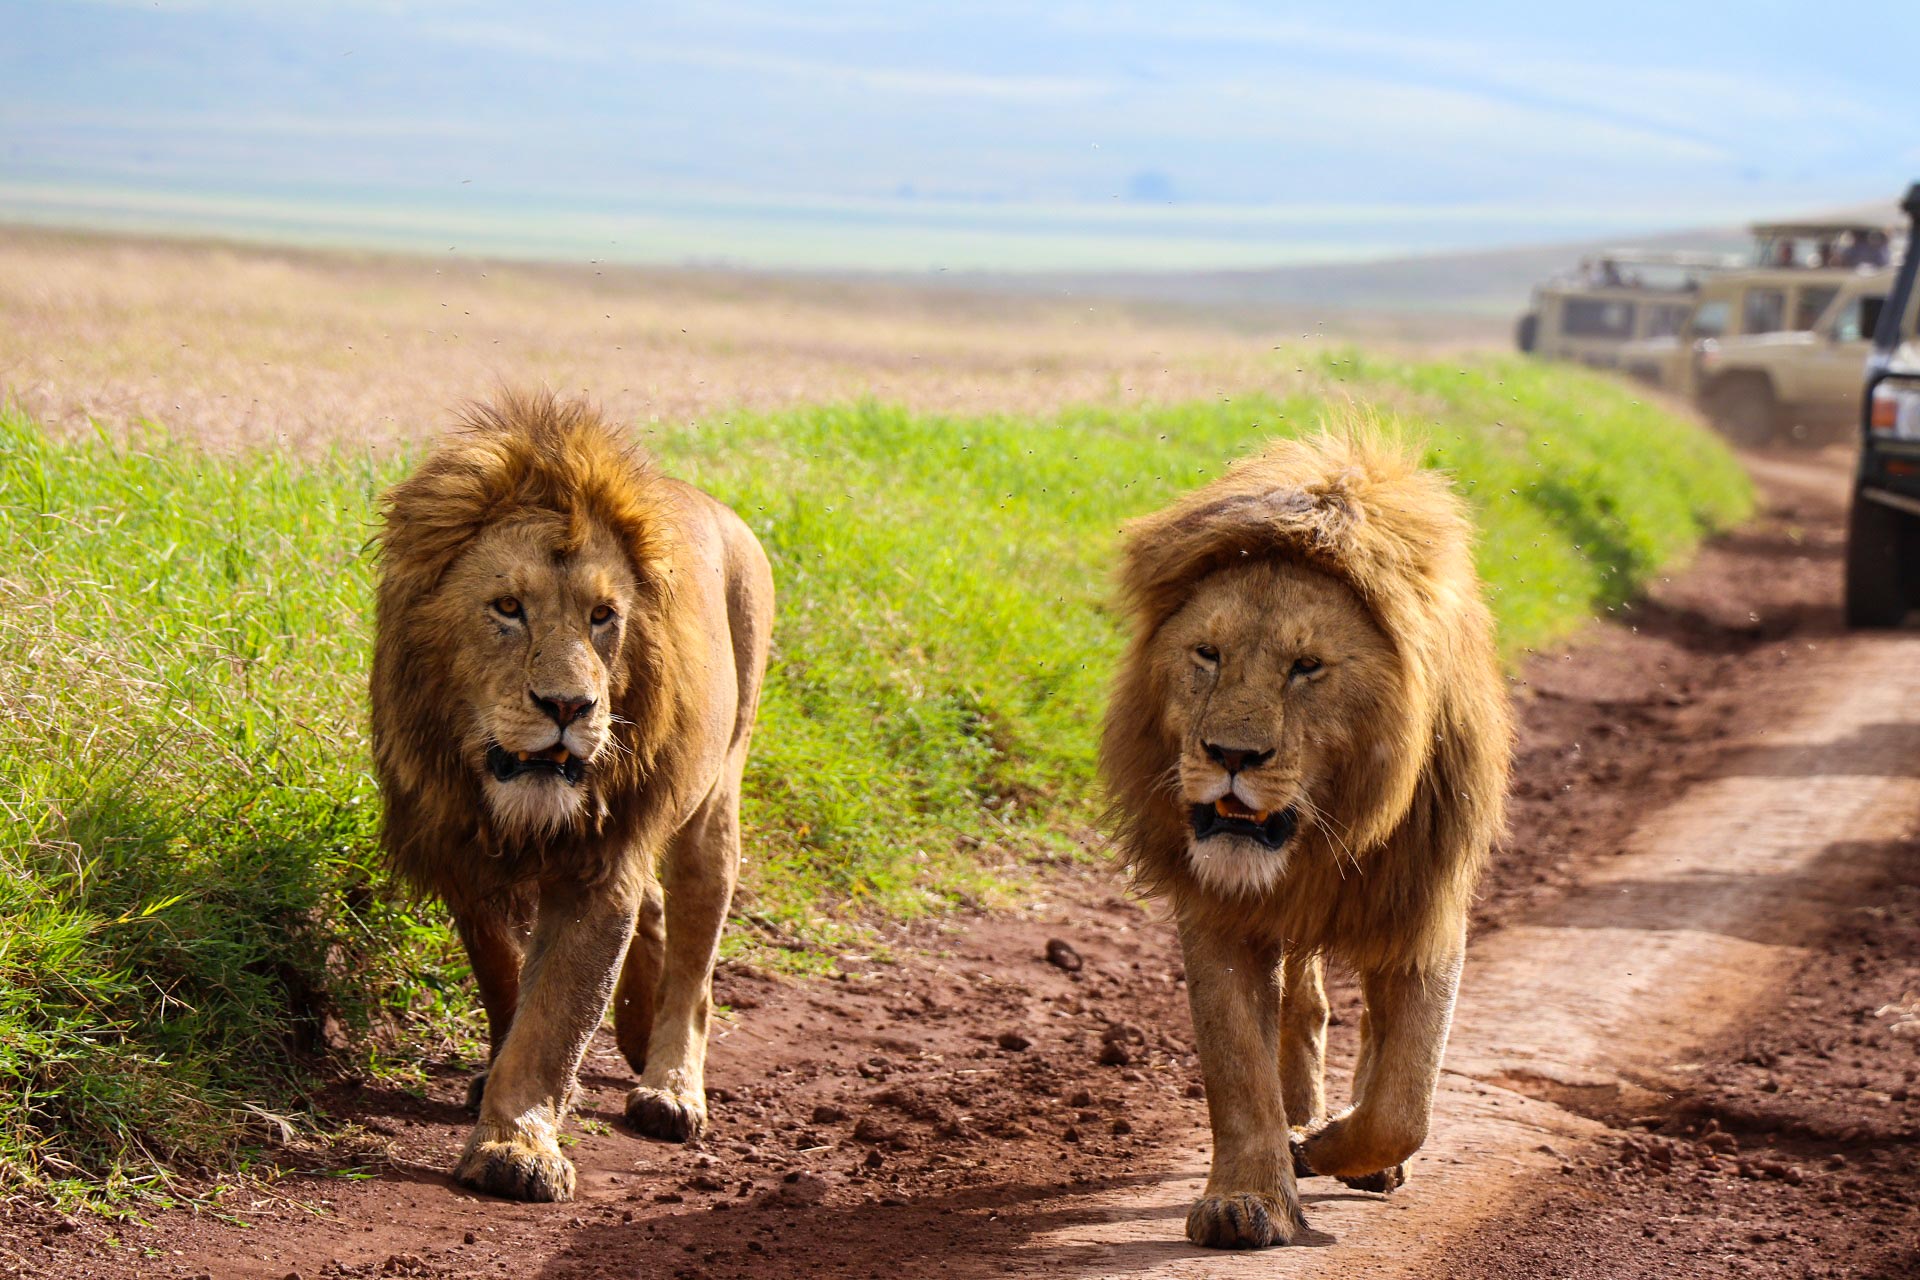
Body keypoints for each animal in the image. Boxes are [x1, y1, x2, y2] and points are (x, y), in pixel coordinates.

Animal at [370, 390, 773, 1203]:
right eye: (507, 607)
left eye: (602, 616)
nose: (569, 706)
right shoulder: (461, 852)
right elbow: (504, 975)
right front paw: (502, 1084)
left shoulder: (598, 862)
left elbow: (555, 1017)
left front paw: (515, 1147)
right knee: (654, 912)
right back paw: (636, 1026)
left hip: (714, 801)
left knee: (695, 958)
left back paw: (669, 1086)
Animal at [1099, 428, 1512, 1249]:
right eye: (1207, 654)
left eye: (1307, 667)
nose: (1231, 755)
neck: (1326, 828)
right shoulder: (1219, 909)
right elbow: (1236, 1066)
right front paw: (1248, 1197)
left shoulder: (1426, 904)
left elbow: (1404, 1101)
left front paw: (1332, 1150)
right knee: (1304, 1005)